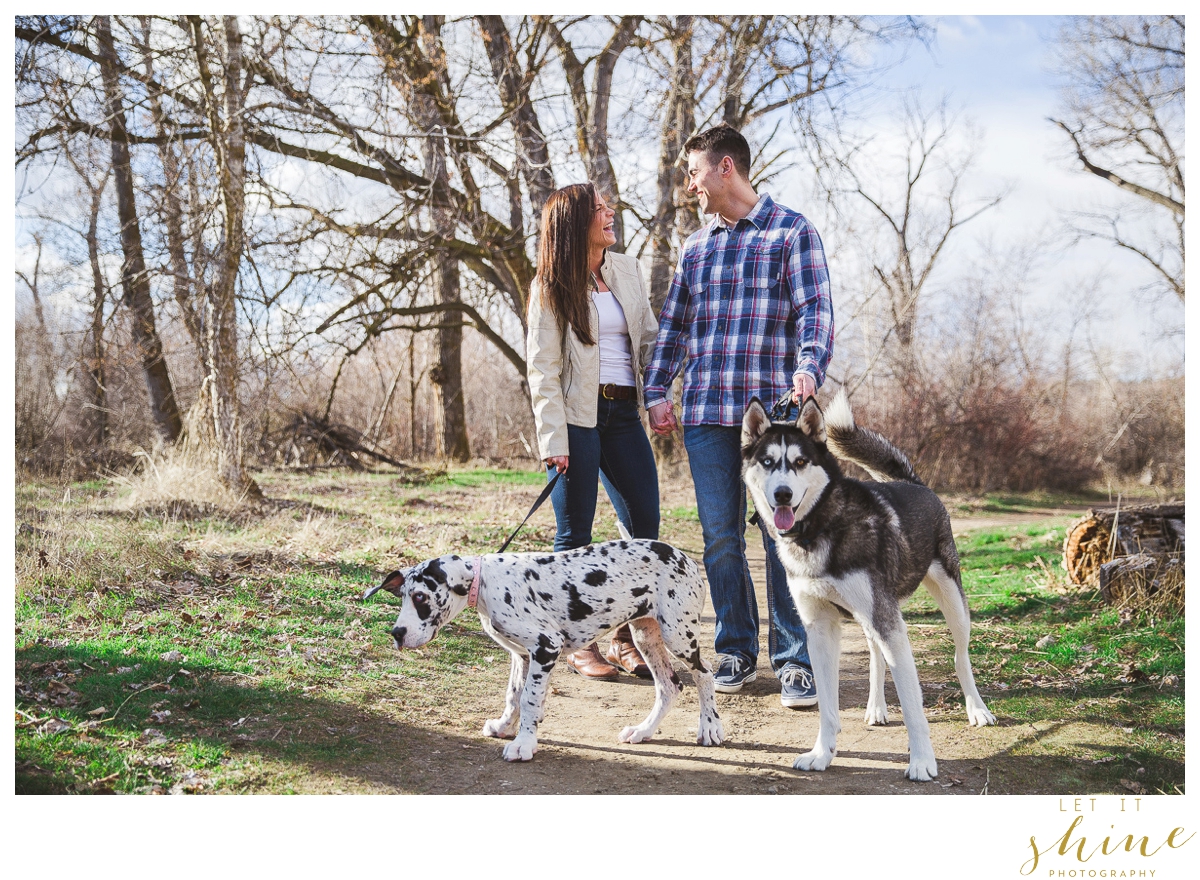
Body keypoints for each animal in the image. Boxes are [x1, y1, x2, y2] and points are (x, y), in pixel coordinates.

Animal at [362, 537, 720, 758]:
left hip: (678, 635)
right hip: (646, 635)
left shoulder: (547, 647)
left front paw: (523, 744)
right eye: (402, 596)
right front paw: (505, 727)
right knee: (669, 686)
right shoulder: (522, 655)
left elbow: (530, 700)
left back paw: (711, 728)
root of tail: (687, 559)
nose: (397, 633)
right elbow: (514, 695)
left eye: (421, 597)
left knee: (704, 675)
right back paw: (643, 731)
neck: (487, 584)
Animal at [739, 393, 993, 782]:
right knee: (876, 653)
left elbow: (913, 705)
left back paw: (976, 709)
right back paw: (876, 707)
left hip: (950, 601)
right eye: (767, 462)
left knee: (960, 656)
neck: (820, 528)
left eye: (800, 462)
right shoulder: (820, 629)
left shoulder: (889, 623)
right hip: (873, 614)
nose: (782, 494)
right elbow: (828, 707)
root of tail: (915, 483)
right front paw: (822, 754)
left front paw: (922, 761)